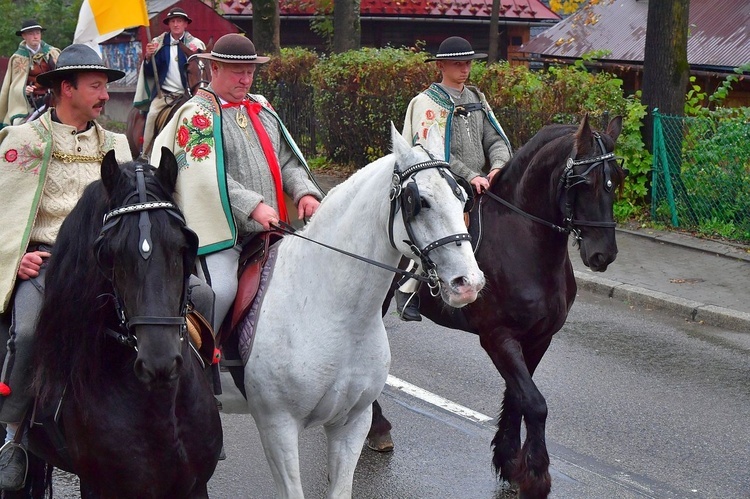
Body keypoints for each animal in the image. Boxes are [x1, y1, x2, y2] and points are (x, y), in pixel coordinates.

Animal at [372, 115, 628, 498]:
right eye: (584, 181)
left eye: (617, 179)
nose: (603, 255)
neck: (524, 241)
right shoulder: (497, 338)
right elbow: (535, 404)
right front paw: (536, 475)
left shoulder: (537, 339)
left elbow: (518, 397)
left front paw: (509, 461)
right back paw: (377, 428)